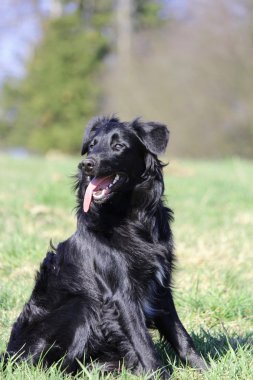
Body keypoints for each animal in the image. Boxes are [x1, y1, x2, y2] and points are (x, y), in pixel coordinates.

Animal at [3, 116, 207, 378]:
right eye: (92, 145)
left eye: (118, 146)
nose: (85, 165)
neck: (130, 217)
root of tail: (9, 356)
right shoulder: (121, 294)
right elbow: (143, 342)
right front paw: (158, 373)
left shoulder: (161, 288)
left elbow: (181, 336)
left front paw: (206, 369)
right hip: (82, 305)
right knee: (62, 367)